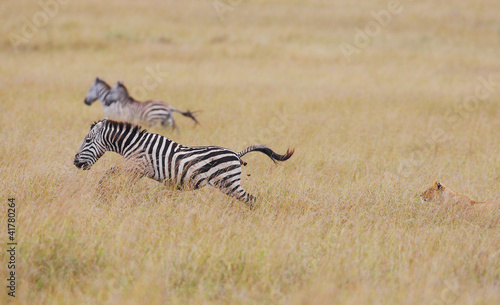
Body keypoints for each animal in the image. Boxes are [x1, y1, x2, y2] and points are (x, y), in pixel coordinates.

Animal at [73, 118, 292, 207]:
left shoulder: (138, 165)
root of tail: (236, 154)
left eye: (88, 140)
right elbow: (115, 173)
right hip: (228, 184)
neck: (133, 144)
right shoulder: (138, 169)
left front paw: (103, 190)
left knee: (251, 199)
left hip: (228, 183)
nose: (75, 162)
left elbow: (111, 171)